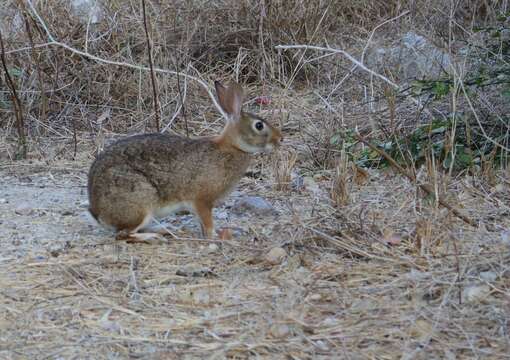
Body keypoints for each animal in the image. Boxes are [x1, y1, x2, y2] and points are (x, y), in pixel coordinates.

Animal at [86, 80, 280, 240]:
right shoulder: (202, 200)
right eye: (259, 125)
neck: (232, 147)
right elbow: (207, 222)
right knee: (124, 234)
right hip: (141, 202)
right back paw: (154, 236)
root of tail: (97, 212)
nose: (280, 139)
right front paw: (214, 236)